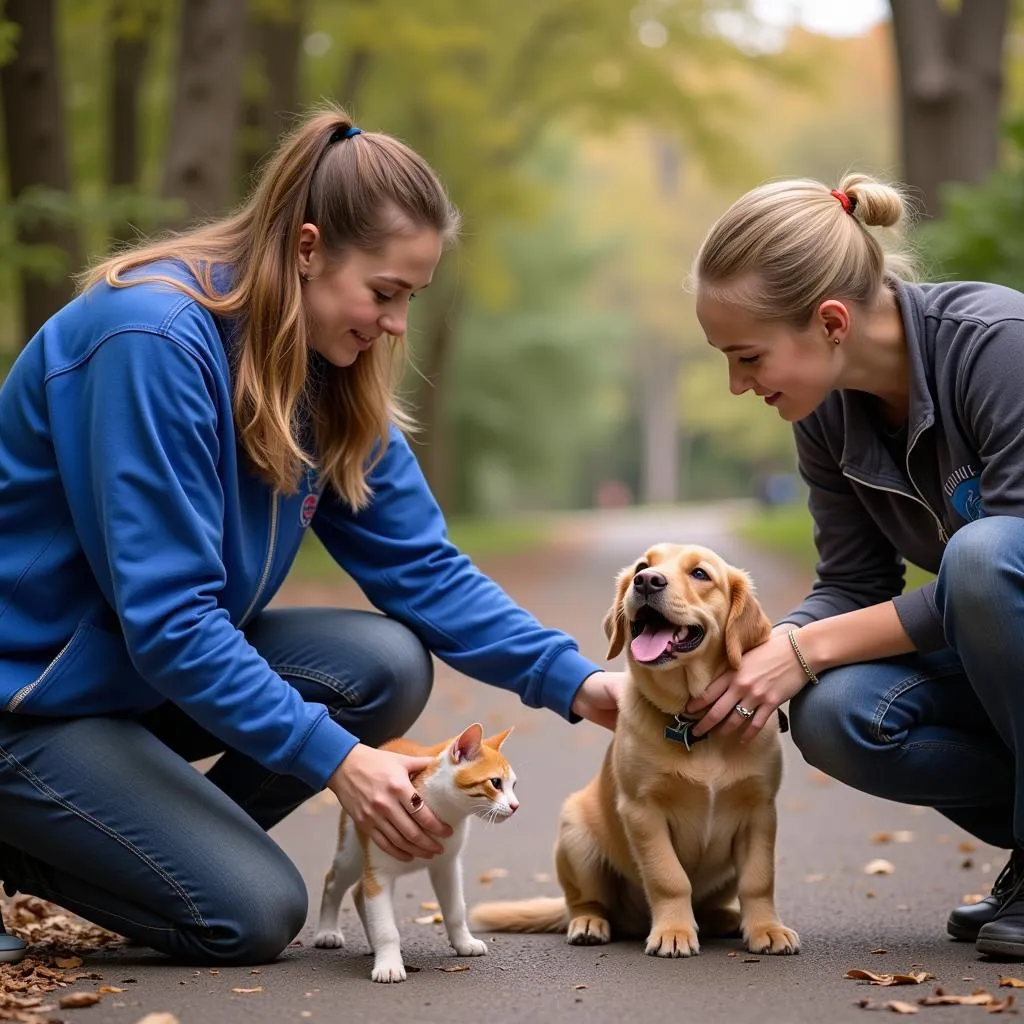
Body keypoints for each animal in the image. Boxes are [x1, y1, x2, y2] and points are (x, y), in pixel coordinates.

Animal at [471, 548, 798, 954]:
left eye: (700, 574)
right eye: (643, 567)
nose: (647, 582)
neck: (690, 722)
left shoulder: (759, 810)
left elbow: (758, 880)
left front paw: (767, 929)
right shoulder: (643, 810)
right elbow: (668, 877)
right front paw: (673, 932)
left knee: (710, 906)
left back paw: (726, 919)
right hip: (576, 837)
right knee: (585, 902)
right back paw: (589, 923)